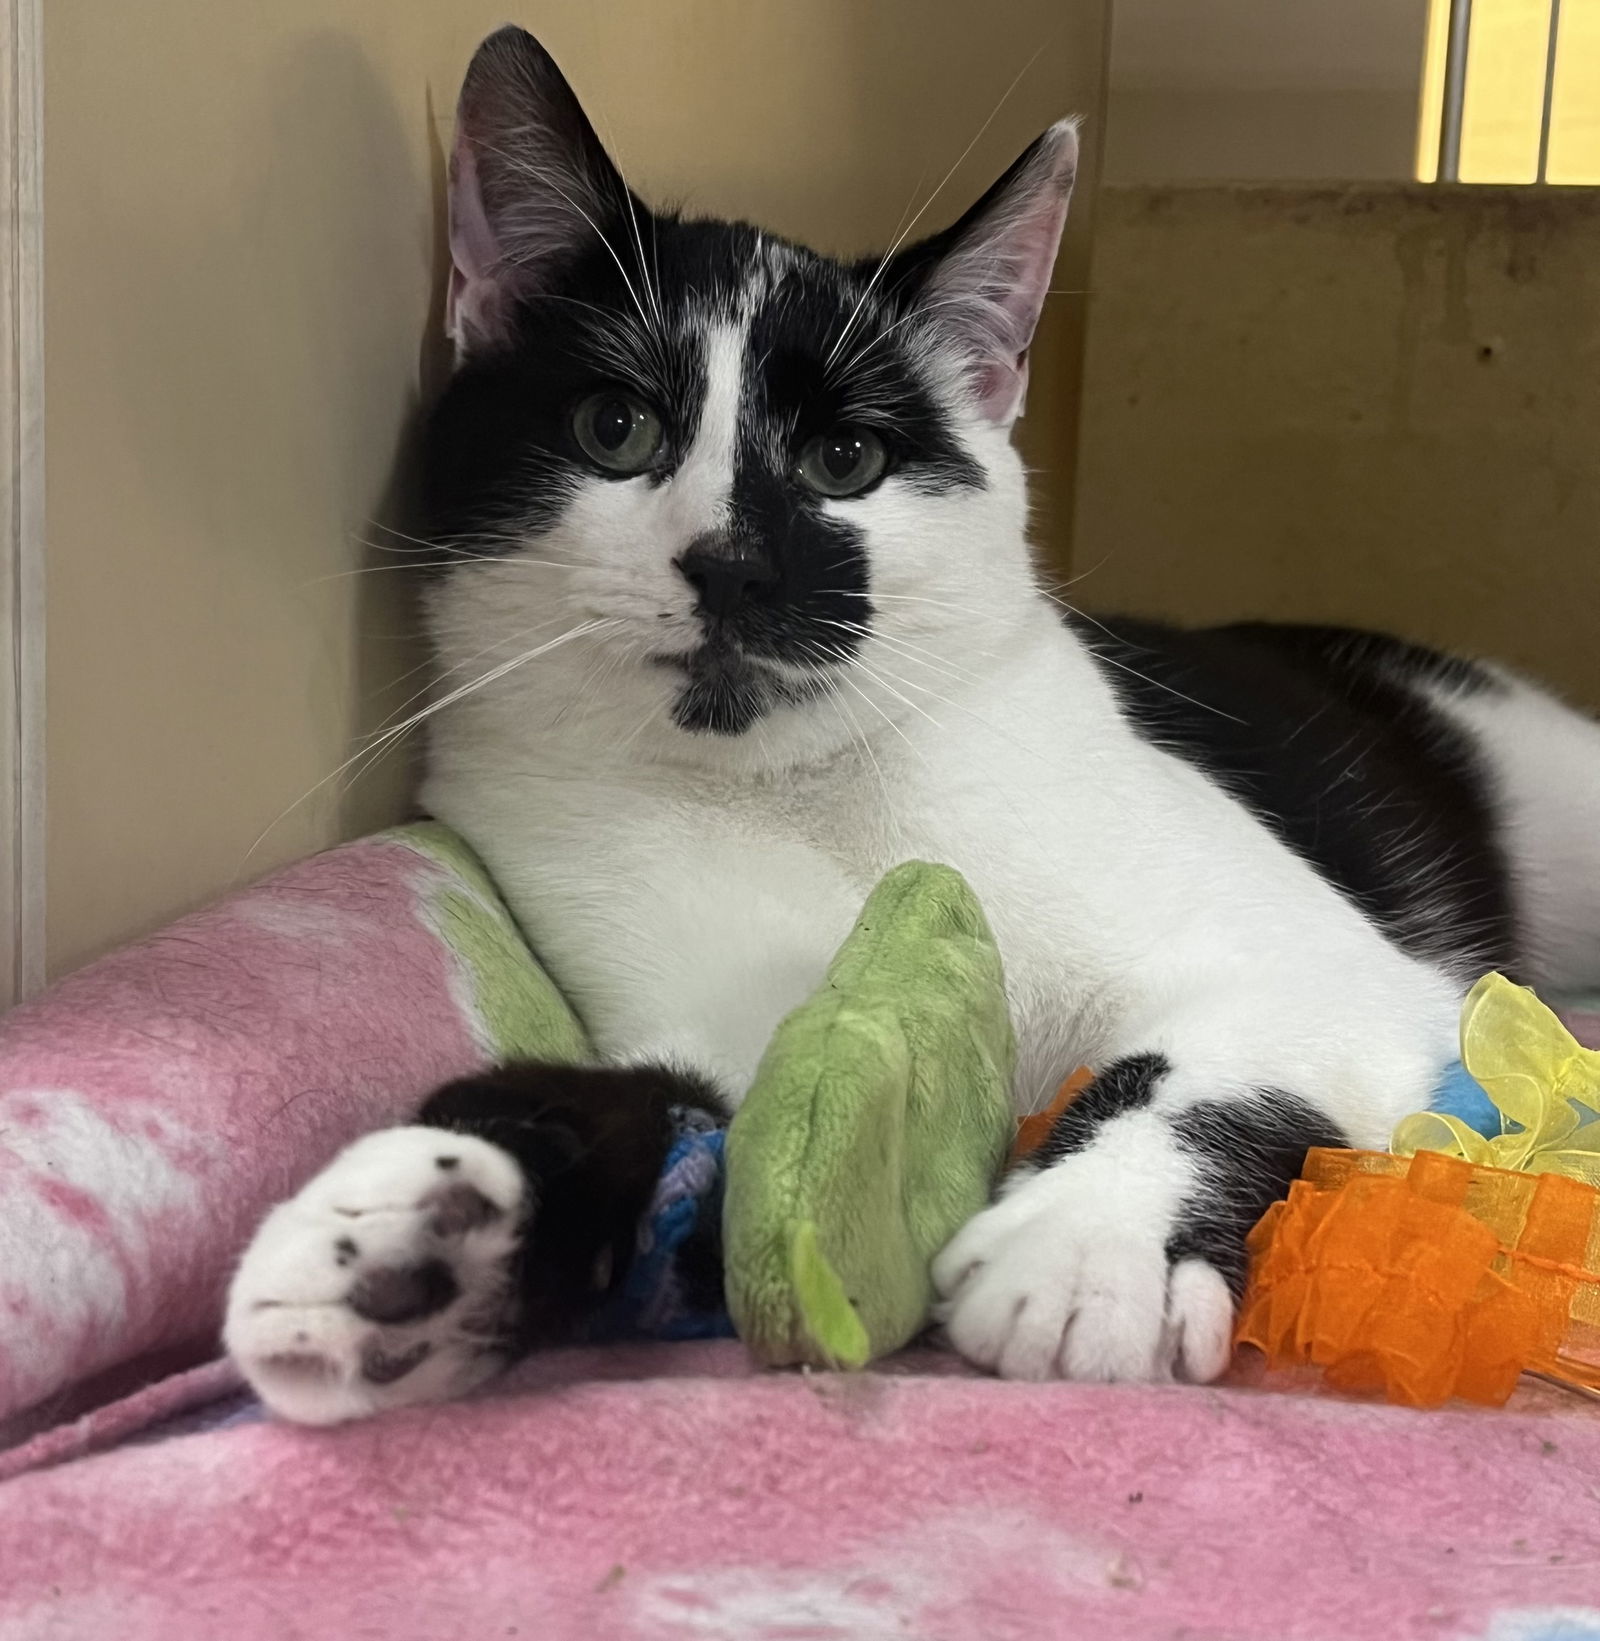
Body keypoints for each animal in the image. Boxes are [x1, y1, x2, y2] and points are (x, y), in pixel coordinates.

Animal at [221, 25, 1600, 1417]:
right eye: (615, 428)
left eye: (847, 462)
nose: (736, 566)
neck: (800, 787)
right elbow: (695, 1117)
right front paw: (417, 1216)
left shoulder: (1328, 964)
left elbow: (1213, 1055)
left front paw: (1086, 1243)